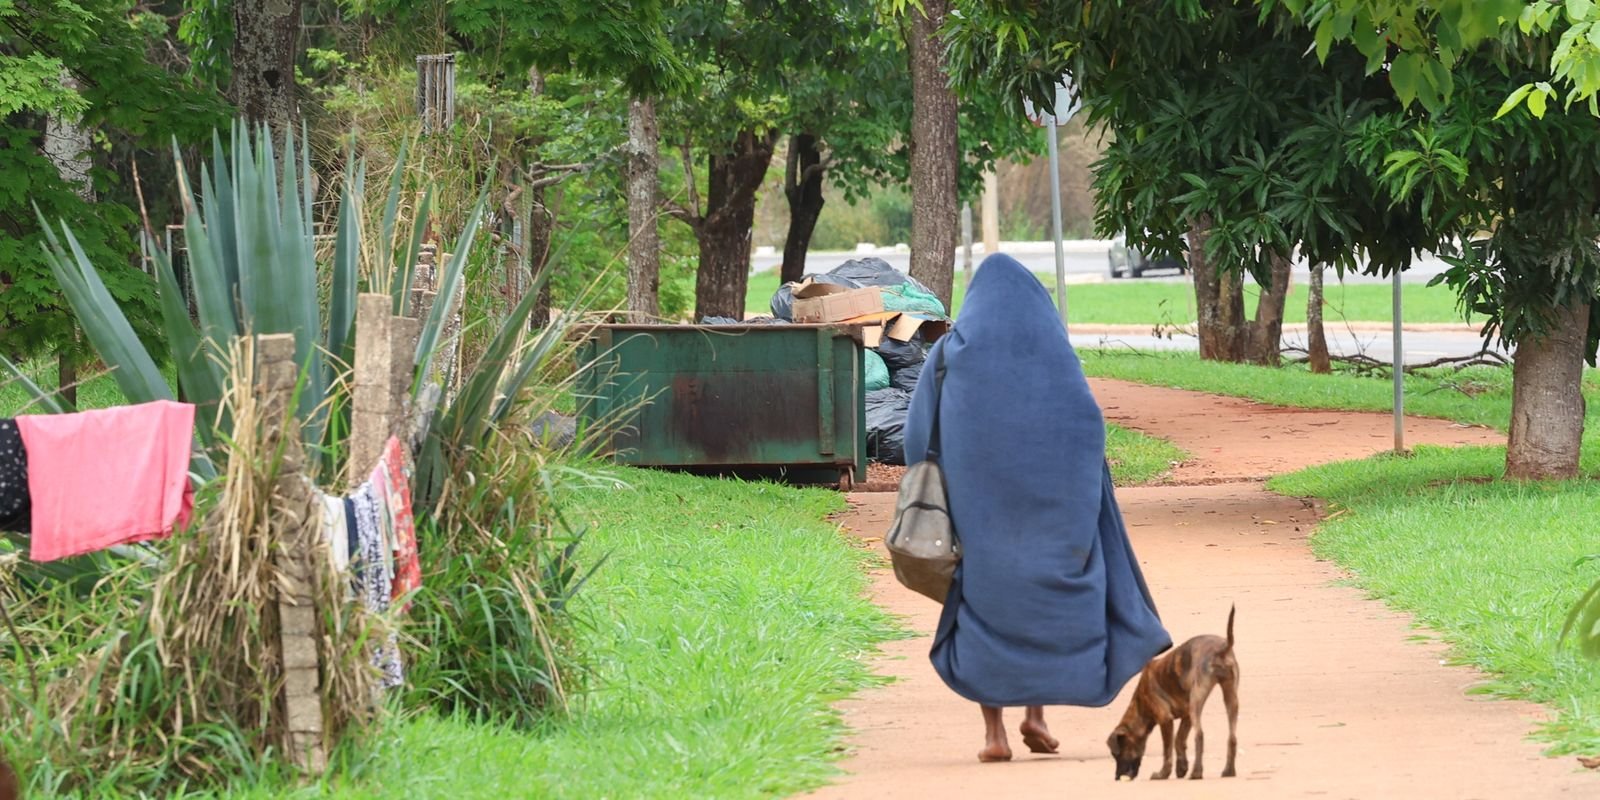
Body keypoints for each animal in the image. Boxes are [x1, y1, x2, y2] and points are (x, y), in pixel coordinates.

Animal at [1113, 604, 1235, 780]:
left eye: (1116, 754)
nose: (1116, 777)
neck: (1141, 704)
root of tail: (1221, 649)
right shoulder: (1186, 716)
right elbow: (1179, 740)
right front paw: (1181, 767)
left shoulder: (1165, 720)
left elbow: (1168, 749)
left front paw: (1163, 773)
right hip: (1230, 698)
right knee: (1232, 737)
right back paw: (1229, 771)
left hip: (1197, 701)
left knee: (1199, 735)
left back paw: (1197, 772)